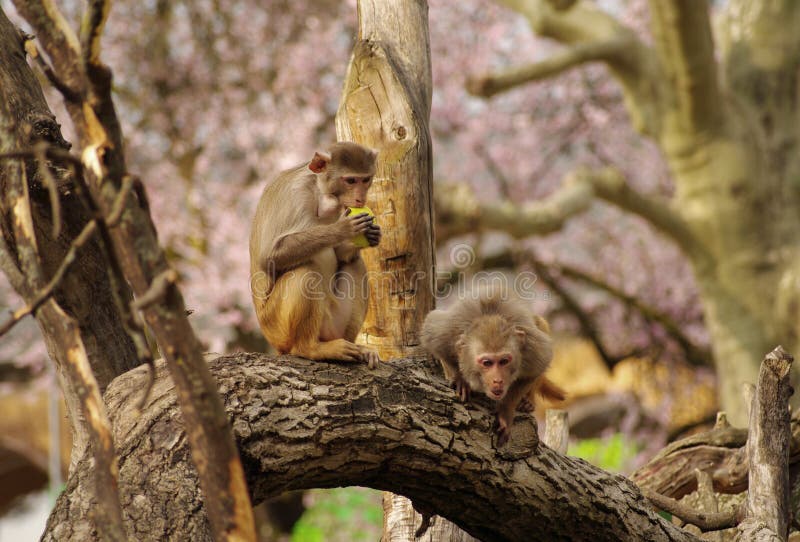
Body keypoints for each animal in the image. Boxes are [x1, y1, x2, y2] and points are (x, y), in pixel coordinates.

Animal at [249, 142, 382, 368]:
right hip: (275, 327)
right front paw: (343, 229)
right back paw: (310, 349)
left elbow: (342, 255)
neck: (319, 191)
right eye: (350, 180)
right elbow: (268, 257)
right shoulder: (295, 194)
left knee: (355, 263)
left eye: (365, 179)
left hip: (332, 323)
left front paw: (371, 235)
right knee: (306, 273)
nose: (360, 198)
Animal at [420, 288, 565, 445]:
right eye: (487, 363)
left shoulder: (532, 347)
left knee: (540, 323)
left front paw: (506, 410)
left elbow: (538, 367)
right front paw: (460, 379)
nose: (498, 380)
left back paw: (528, 400)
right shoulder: (446, 333)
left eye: (504, 361)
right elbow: (432, 337)